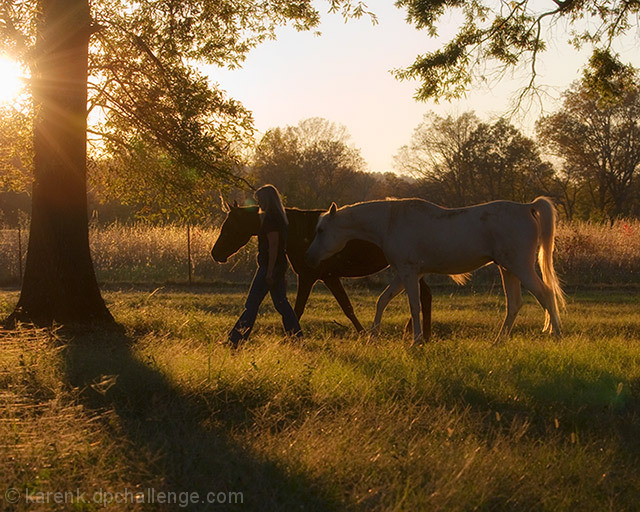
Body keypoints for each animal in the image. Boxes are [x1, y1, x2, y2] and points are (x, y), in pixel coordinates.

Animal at [210, 202, 436, 338]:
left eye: (229, 227)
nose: (215, 253)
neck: (302, 232)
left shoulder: (312, 277)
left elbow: (301, 309)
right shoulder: (328, 278)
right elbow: (346, 308)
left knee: (424, 295)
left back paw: (421, 334)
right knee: (425, 295)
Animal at [304, 197, 564, 344]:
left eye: (321, 230)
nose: (310, 257)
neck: (390, 222)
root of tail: (526, 208)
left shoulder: (409, 273)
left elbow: (414, 306)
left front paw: (416, 341)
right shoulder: (405, 274)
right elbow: (382, 301)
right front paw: (372, 337)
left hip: (520, 267)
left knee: (545, 294)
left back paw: (557, 335)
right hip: (508, 270)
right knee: (515, 304)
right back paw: (498, 342)